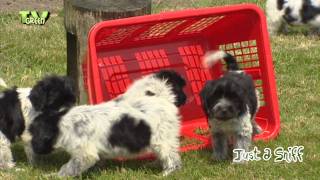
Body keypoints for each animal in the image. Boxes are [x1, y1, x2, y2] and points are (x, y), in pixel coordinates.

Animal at [29, 69, 188, 176]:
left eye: (34, 134)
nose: (35, 149)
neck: (62, 120)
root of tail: (163, 98)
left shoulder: (85, 153)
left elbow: (68, 168)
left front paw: (54, 176)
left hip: (162, 139)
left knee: (172, 158)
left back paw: (166, 173)